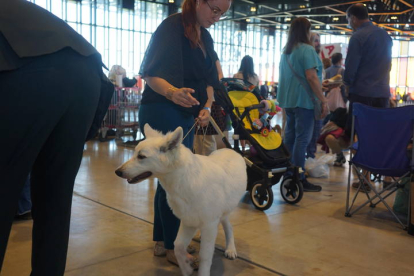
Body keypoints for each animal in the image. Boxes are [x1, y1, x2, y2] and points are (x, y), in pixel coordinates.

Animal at [115, 124, 247, 276]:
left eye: (141, 157)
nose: (117, 172)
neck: (183, 179)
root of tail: (231, 150)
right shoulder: (188, 222)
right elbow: (177, 246)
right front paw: (186, 266)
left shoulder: (209, 224)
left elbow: (205, 256)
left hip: (223, 212)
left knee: (229, 227)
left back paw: (231, 249)